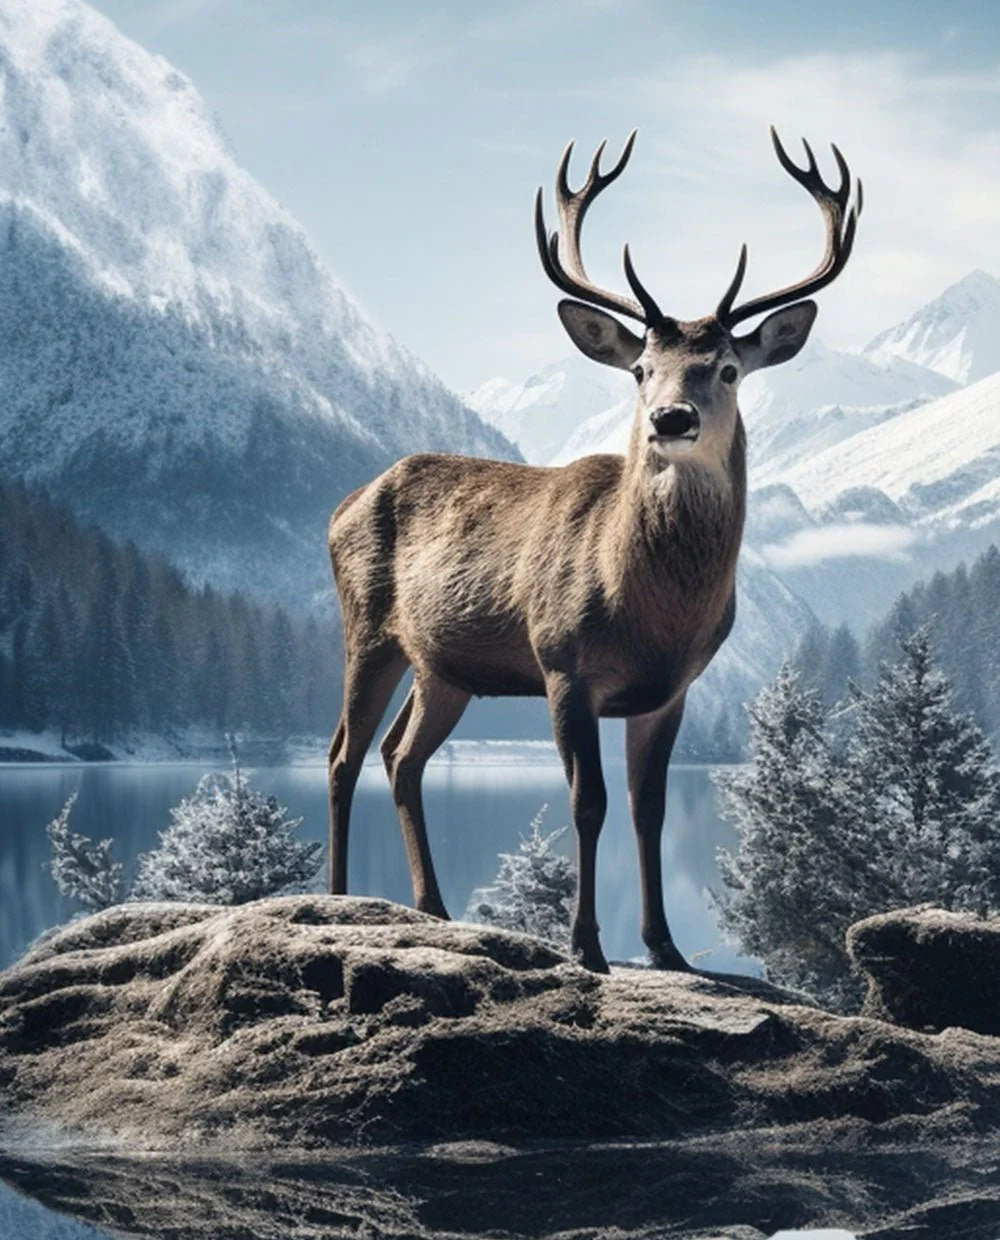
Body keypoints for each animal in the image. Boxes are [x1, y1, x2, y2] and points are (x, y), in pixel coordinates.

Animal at [326, 127, 861, 973]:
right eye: (641, 369)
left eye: (728, 368)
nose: (671, 418)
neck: (649, 609)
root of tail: (343, 504)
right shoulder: (562, 663)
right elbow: (589, 802)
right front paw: (586, 946)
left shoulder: (672, 690)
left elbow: (649, 811)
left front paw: (667, 947)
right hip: (367, 627)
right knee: (343, 753)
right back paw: (341, 897)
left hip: (445, 666)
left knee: (400, 756)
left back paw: (434, 908)